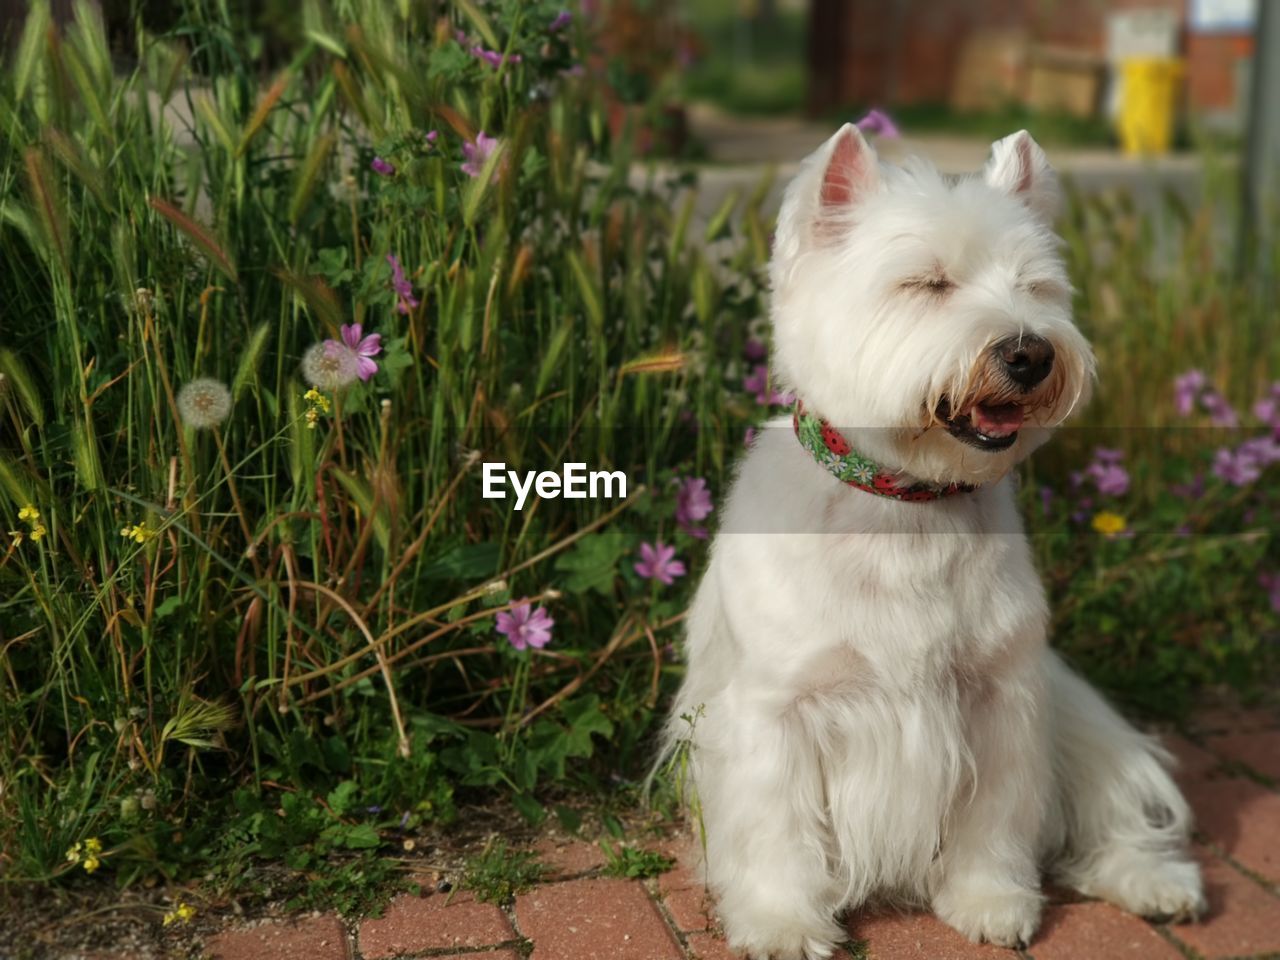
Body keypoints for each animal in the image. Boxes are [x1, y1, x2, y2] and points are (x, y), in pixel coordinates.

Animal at [665, 126, 1203, 957]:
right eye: (927, 283)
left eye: (1035, 286)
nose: (1031, 354)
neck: (909, 506)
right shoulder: (775, 711)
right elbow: (775, 828)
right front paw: (782, 921)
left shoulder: (1000, 698)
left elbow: (996, 817)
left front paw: (989, 900)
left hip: (1076, 719)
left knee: (1101, 822)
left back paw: (1156, 883)